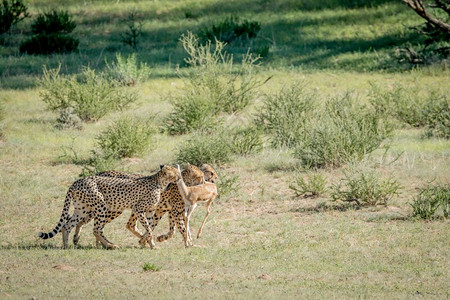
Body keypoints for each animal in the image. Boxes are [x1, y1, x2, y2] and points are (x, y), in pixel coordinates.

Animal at [36, 164, 181, 248]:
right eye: (175, 172)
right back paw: (110, 245)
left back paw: (66, 246)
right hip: (101, 205)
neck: (160, 182)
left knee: (67, 225)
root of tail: (77, 181)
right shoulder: (138, 209)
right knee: (96, 229)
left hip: (82, 208)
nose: (179, 177)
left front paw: (151, 244)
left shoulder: (150, 210)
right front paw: (148, 242)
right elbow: (149, 229)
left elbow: (149, 227)